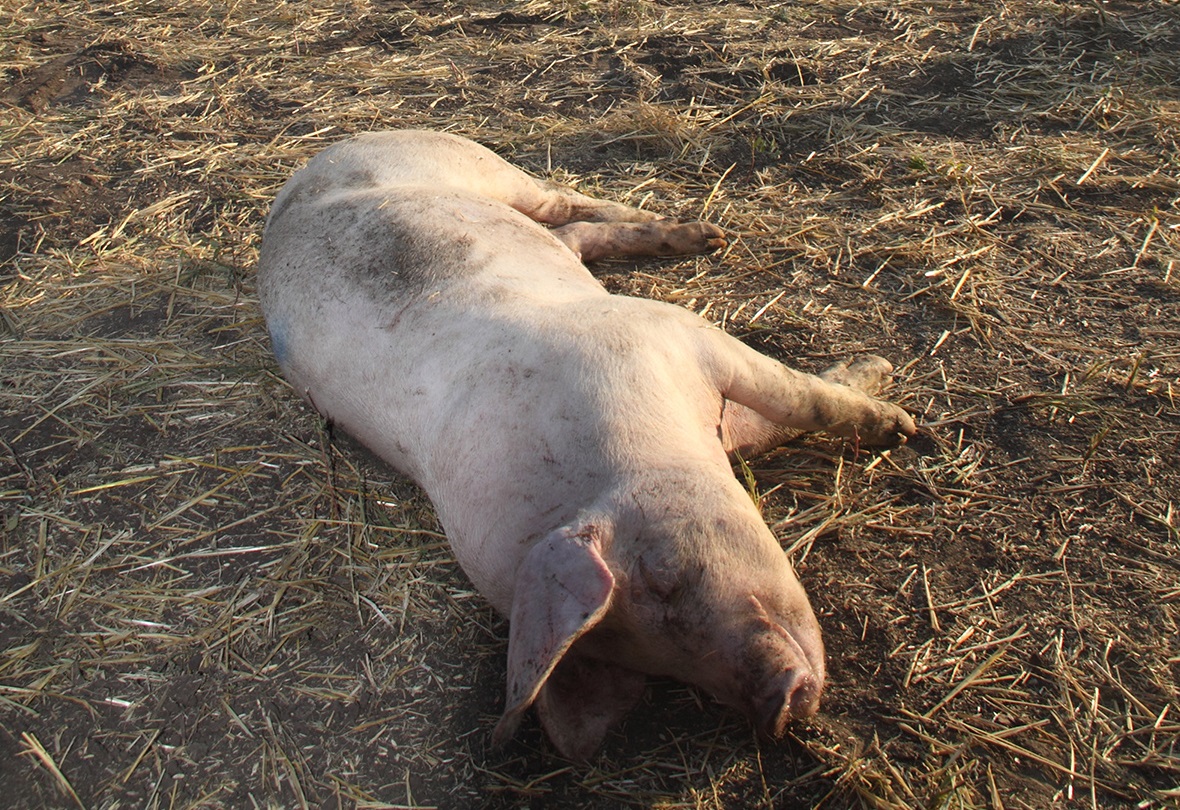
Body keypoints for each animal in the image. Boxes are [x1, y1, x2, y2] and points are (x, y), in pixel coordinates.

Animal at [260, 129, 920, 765]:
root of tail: (312, 162)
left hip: (471, 164)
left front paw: (899, 419)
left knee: (562, 201)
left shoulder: (669, 331)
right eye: (654, 666)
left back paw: (707, 234)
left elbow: (801, 399)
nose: (774, 710)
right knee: (569, 235)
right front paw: (891, 404)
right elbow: (777, 420)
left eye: (663, 575)